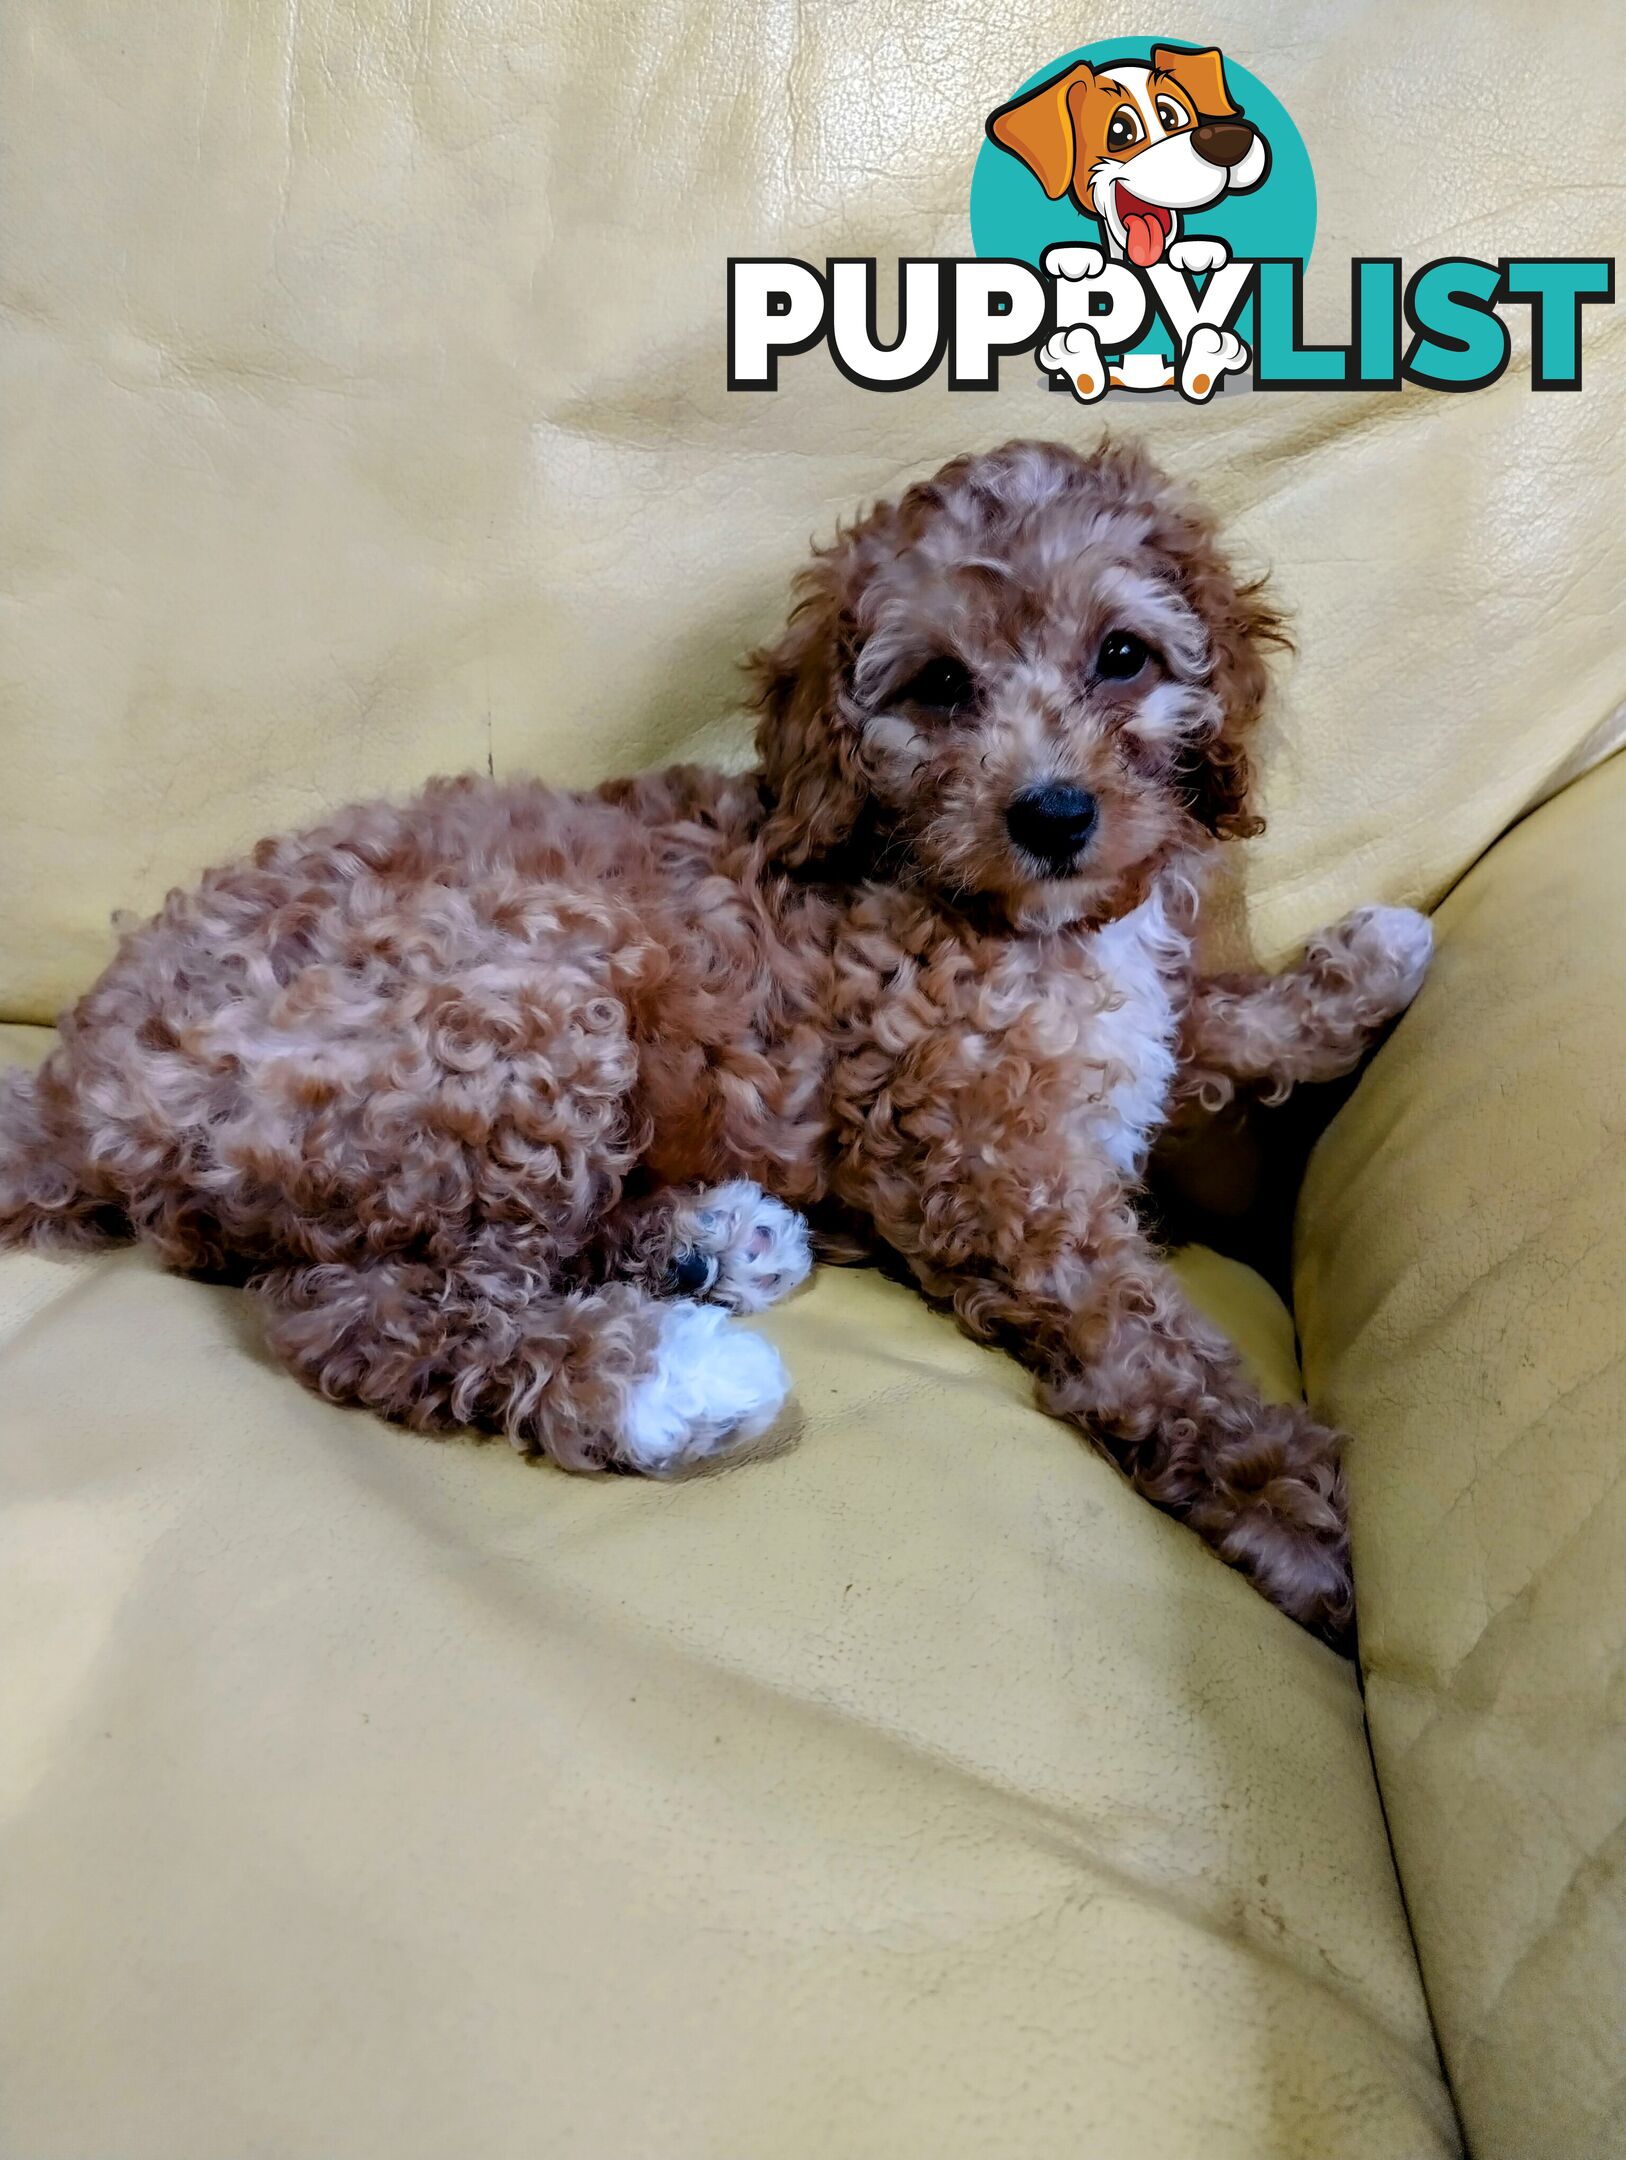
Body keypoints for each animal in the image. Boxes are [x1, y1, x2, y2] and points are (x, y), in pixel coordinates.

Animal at [0, 442, 1416, 1650]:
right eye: (941, 687)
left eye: (1123, 656)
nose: (1055, 815)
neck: (994, 909)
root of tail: (74, 1086)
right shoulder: (984, 1172)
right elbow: (1150, 1345)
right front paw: (1301, 1508)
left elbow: (1206, 1024)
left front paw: (1365, 968)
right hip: (519, 1016)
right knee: (367, 1310)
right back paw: (663, 1375)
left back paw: (712, 1246)